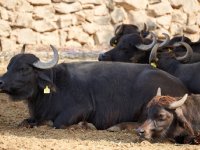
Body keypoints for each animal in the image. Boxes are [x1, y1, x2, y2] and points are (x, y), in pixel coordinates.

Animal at [0, 44, 188, 129]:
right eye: (8, 66)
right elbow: (25, 121)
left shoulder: (82, 107)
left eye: (24, 69)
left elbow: (57, 122)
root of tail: (182, 86)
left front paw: (84, 125)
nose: (1, 82)